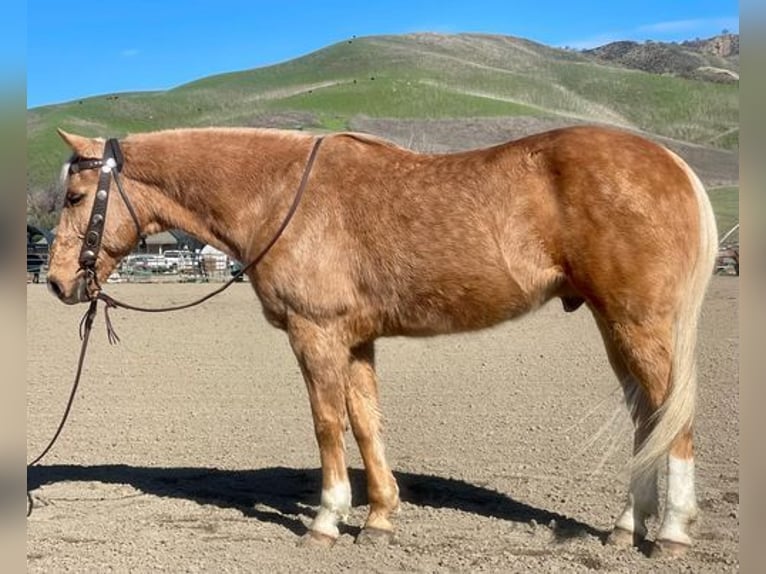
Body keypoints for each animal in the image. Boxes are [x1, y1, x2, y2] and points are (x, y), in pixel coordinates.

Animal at [46, 126, 720, 560]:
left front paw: (326, 520)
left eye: (76, 197)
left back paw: (671, 533)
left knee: (674, 418)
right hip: (616, 324)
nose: (56, 282)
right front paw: (380, 519)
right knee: (647, 417)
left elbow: (327, 423)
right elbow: (367, 423)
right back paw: (625, 528)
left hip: (637, 321)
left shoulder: (315, 334)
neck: (280, 193)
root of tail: (670, 163)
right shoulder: (356, 340)